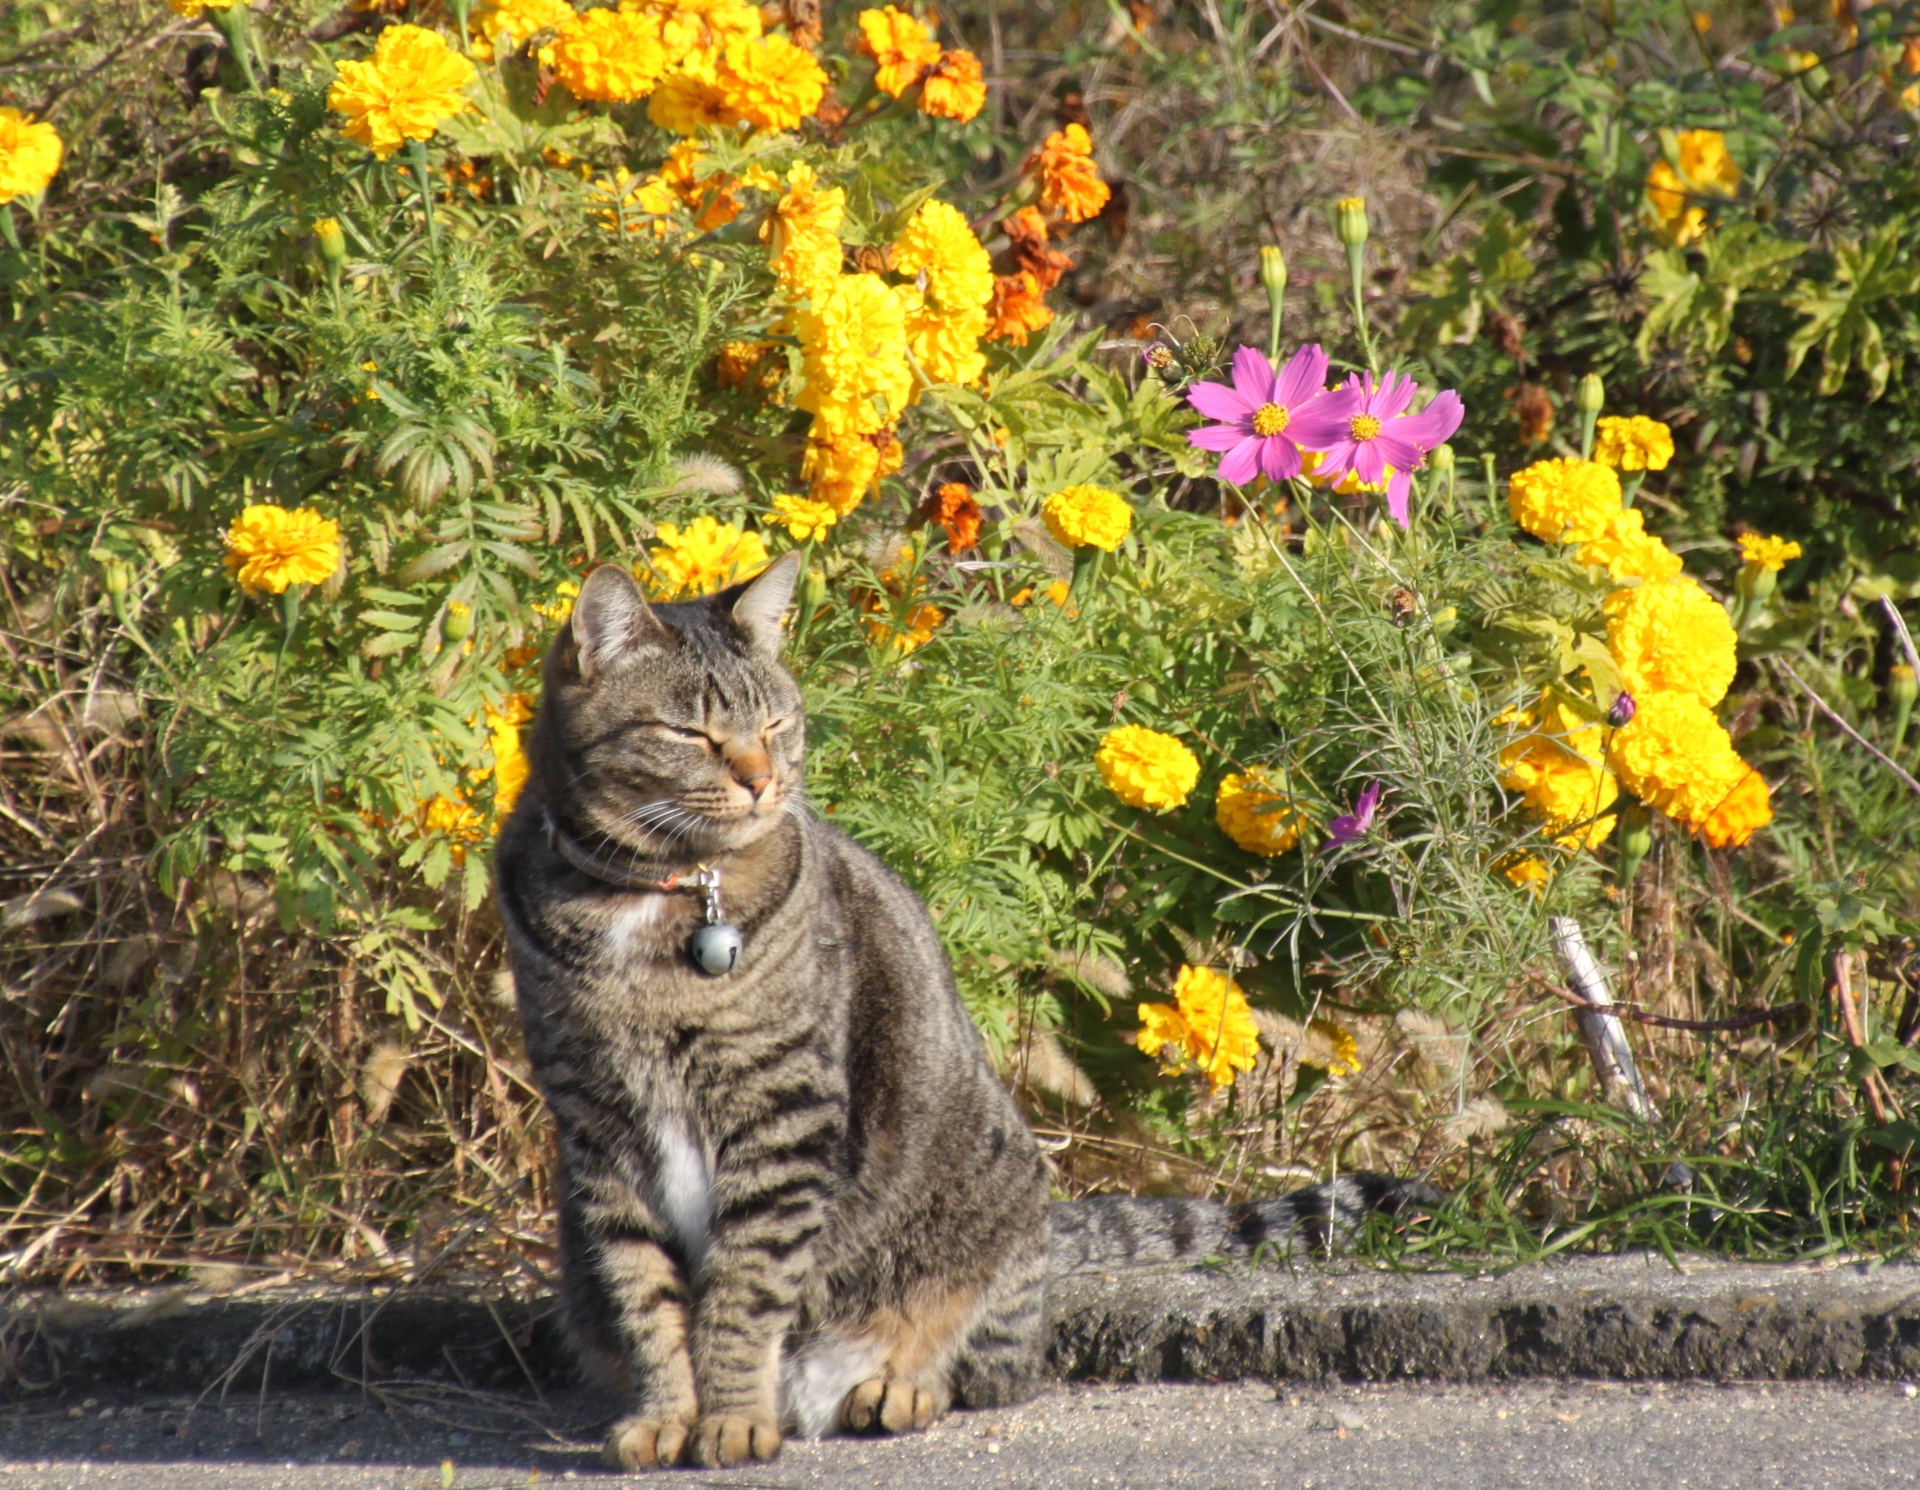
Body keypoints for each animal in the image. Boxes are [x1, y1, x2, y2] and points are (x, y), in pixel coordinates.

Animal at [503, 556, 1436, 1466]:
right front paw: (667, 1415)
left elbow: (742, 1288)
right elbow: (646, 1296)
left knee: (990, 1363)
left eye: (774, 726)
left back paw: (896, 1386)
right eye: (692, 734)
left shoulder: (778, 1110)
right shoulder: (597, 1127)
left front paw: (730, 1419)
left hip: (990, 1209)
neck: (650, 898)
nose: (762, 781)